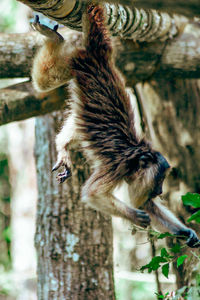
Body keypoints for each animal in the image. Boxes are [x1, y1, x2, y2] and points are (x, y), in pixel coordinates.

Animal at [30, 5, 200, 248]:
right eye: (158, 181)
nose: (160, 191)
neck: (137, 157)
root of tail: (99, 55)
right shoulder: (118, 167)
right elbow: (92, 193)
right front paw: (133, 215)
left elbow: (147, 205)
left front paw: (185, 231)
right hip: (72, 61)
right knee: (44, 82)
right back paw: (53, 38)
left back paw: (62, 145)